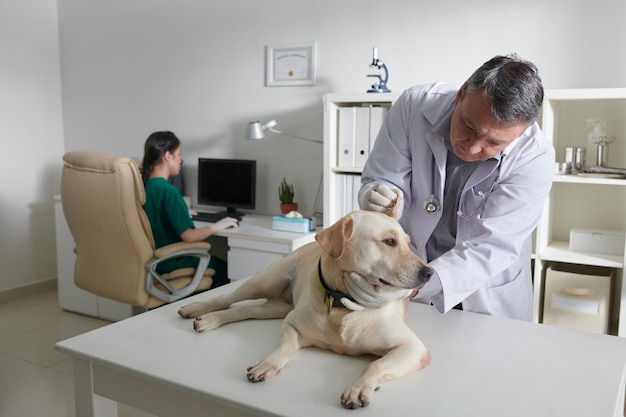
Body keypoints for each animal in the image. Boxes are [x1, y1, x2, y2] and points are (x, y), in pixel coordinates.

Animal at [178, 208, 432, 406]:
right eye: (389, 241)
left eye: (408, 243)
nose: (429, 273)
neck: (342, 305)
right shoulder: (292, 325)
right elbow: (284, 347)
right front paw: (268, 363)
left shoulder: (413, 348)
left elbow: (374, 366)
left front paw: (359, 388)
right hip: (266, 282)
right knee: (227, 298)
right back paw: (200, 311)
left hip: (277, 308)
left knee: (245, 310)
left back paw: (210, 319)